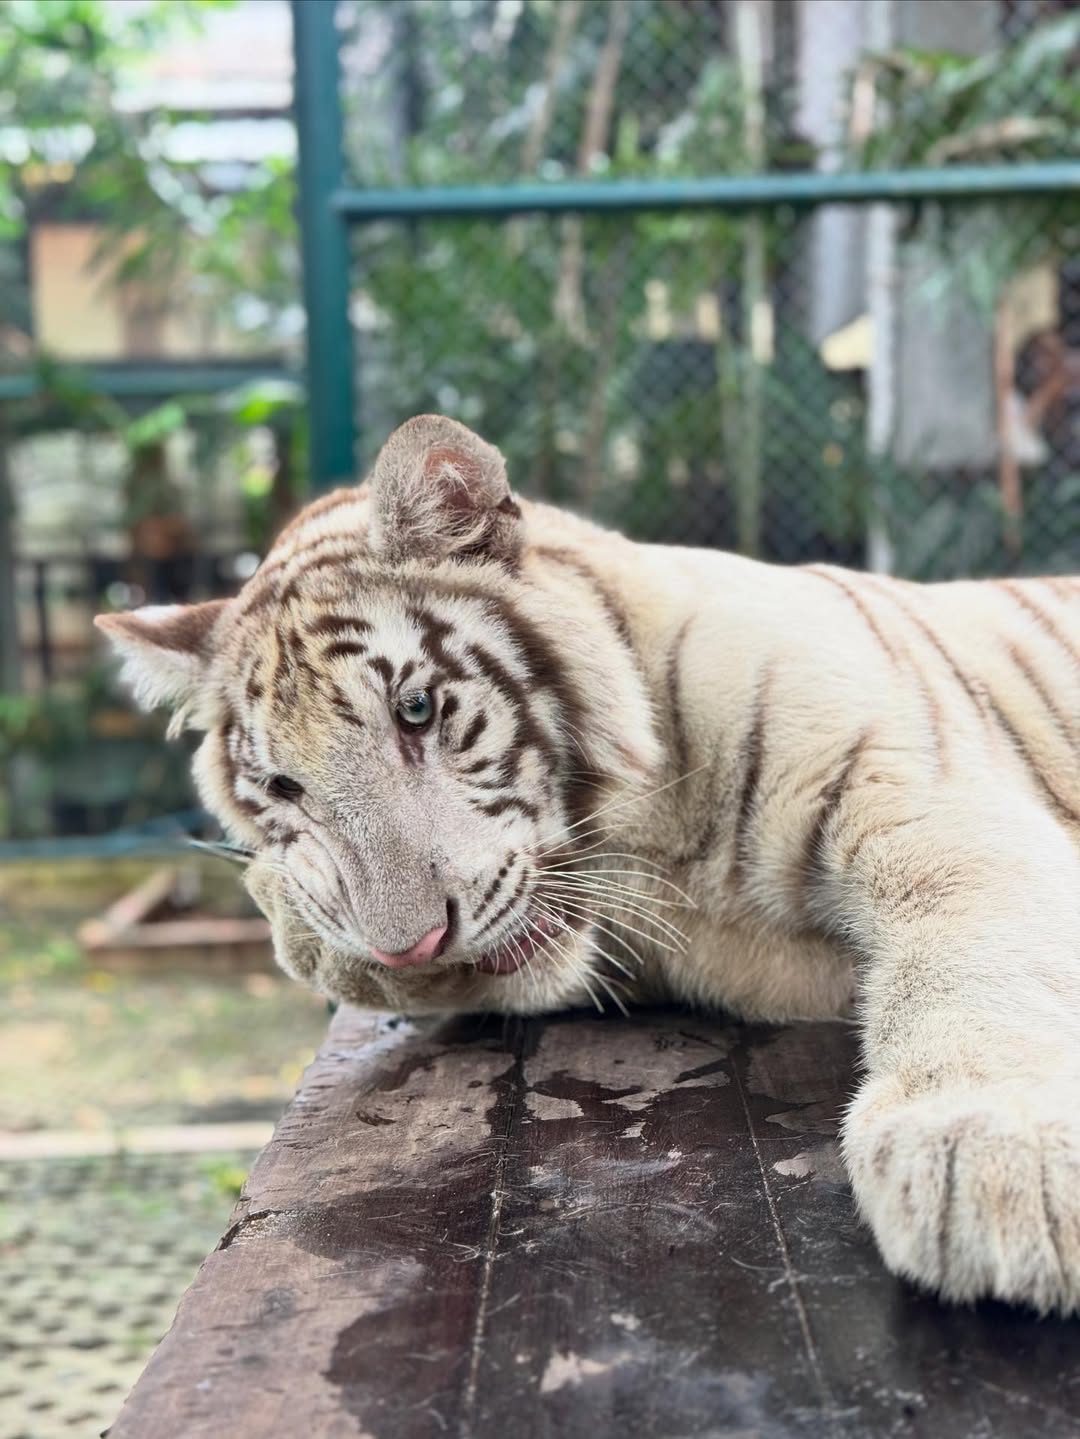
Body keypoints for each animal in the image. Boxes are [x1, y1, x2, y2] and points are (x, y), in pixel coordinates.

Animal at [97, 413, 1080, 1317]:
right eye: (282, 785)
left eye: (416, 709)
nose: (414, 941)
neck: (654, 843)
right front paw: (300, 914)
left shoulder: (927, 796)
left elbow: (975, 953)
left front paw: (991, 1156)